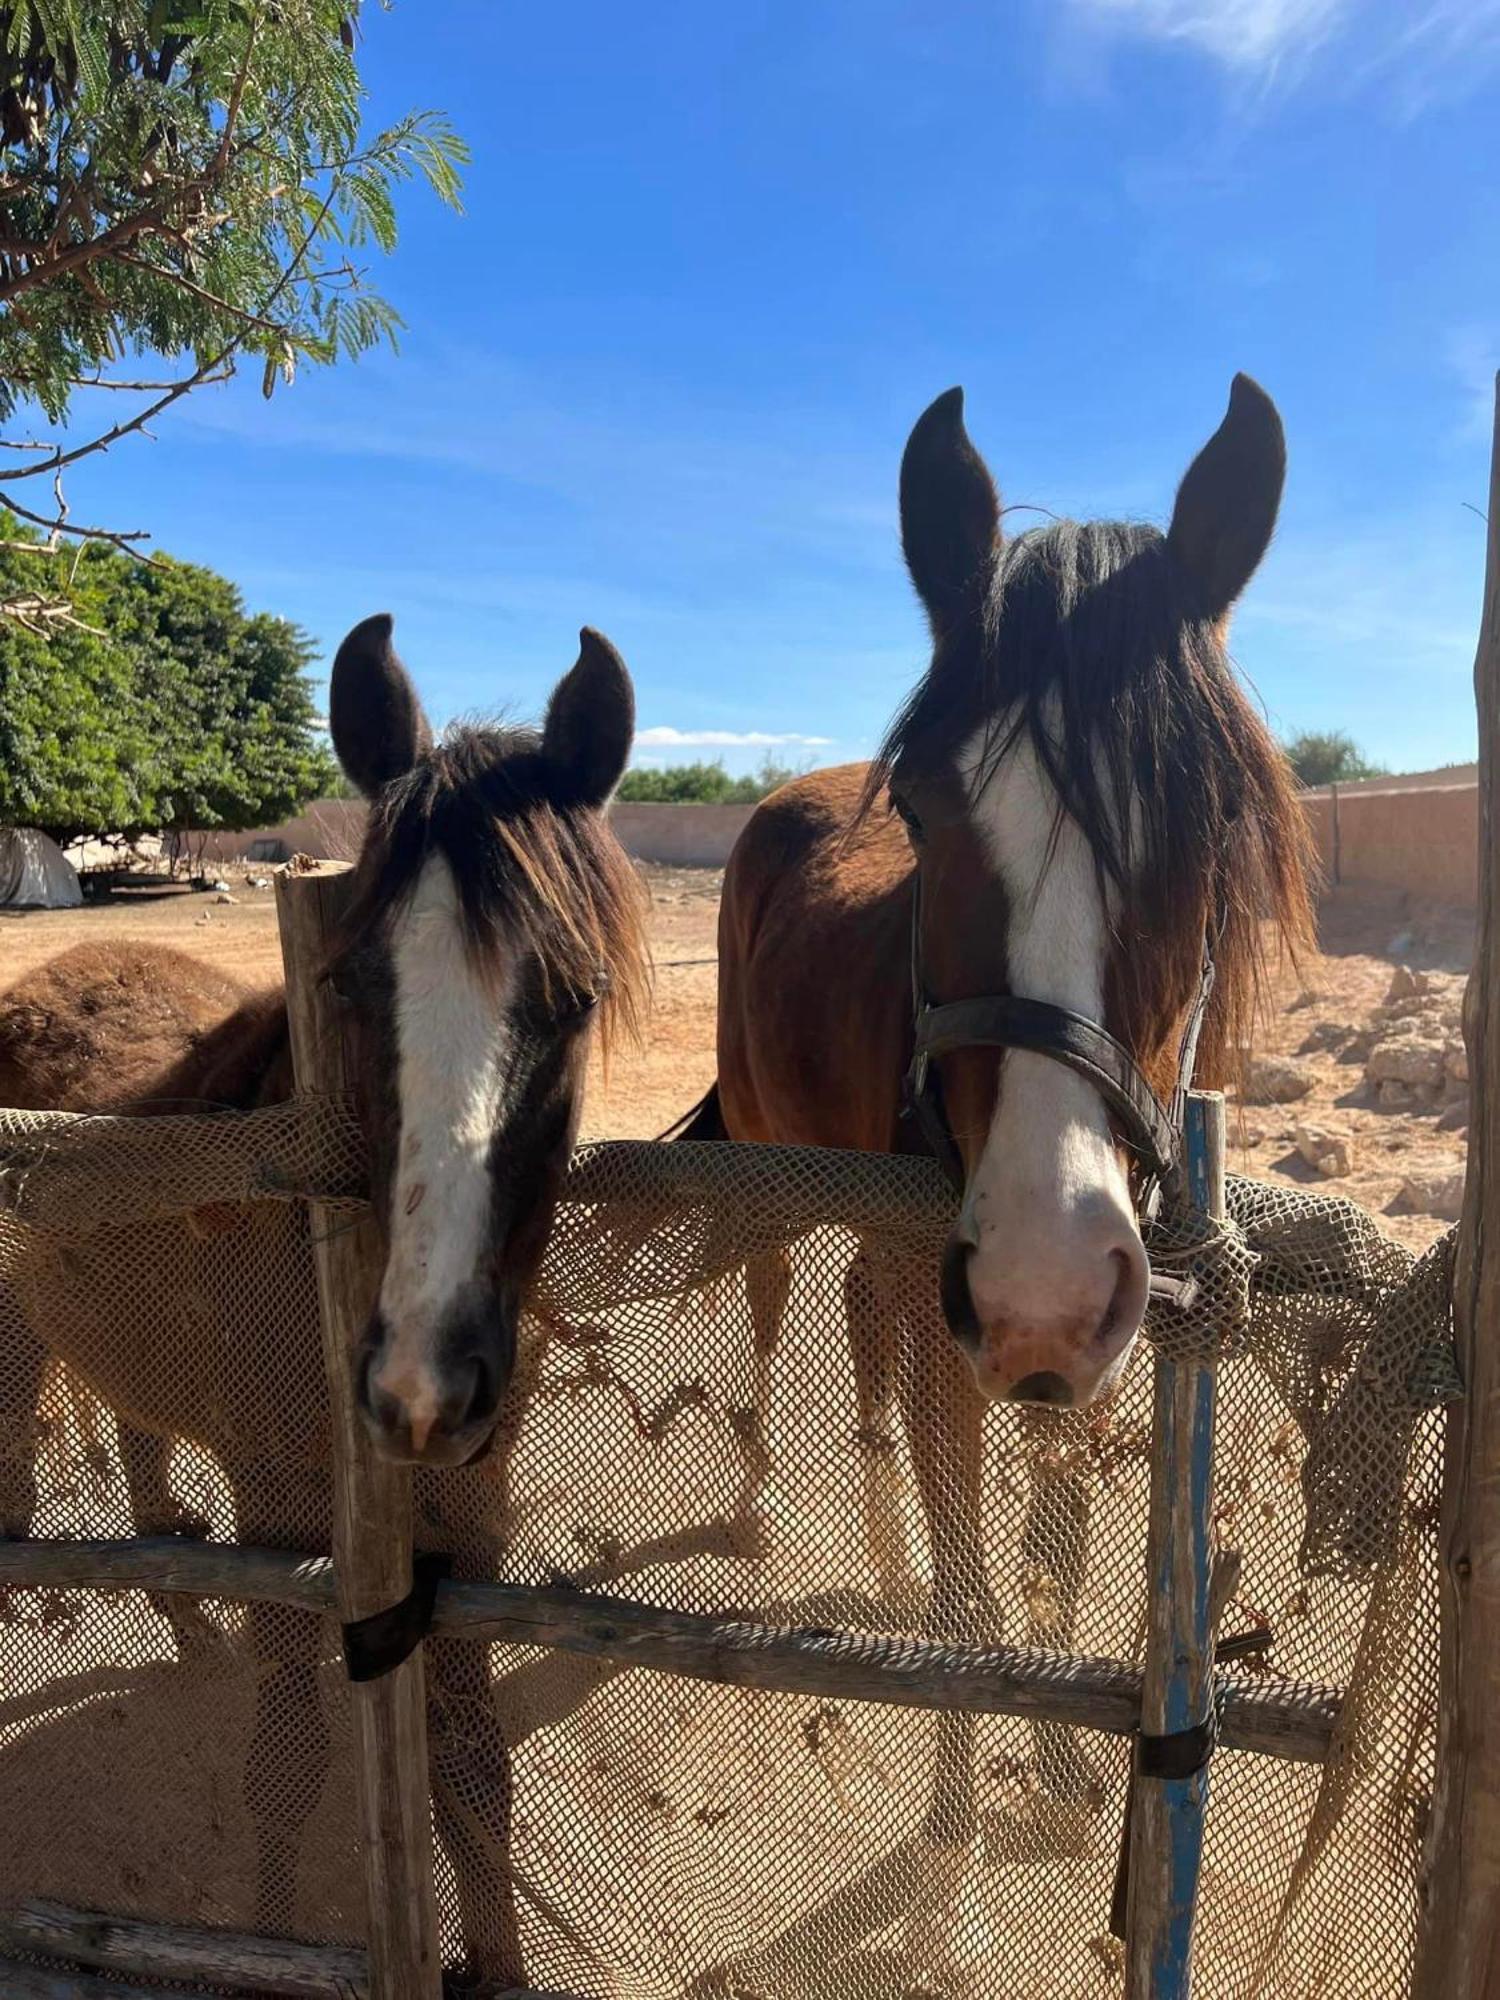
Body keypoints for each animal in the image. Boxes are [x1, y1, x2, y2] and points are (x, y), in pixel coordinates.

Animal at [1, 616, 648, 1976]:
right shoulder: (292, 1514)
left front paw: (500, 1964)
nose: (419, 1387)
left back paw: (188, 1621)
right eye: (353, 986)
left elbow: (476, 1773)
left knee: (141, 1452)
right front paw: (276, 1933)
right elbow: (287, 1767)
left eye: (574, 998)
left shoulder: (469, 1522)